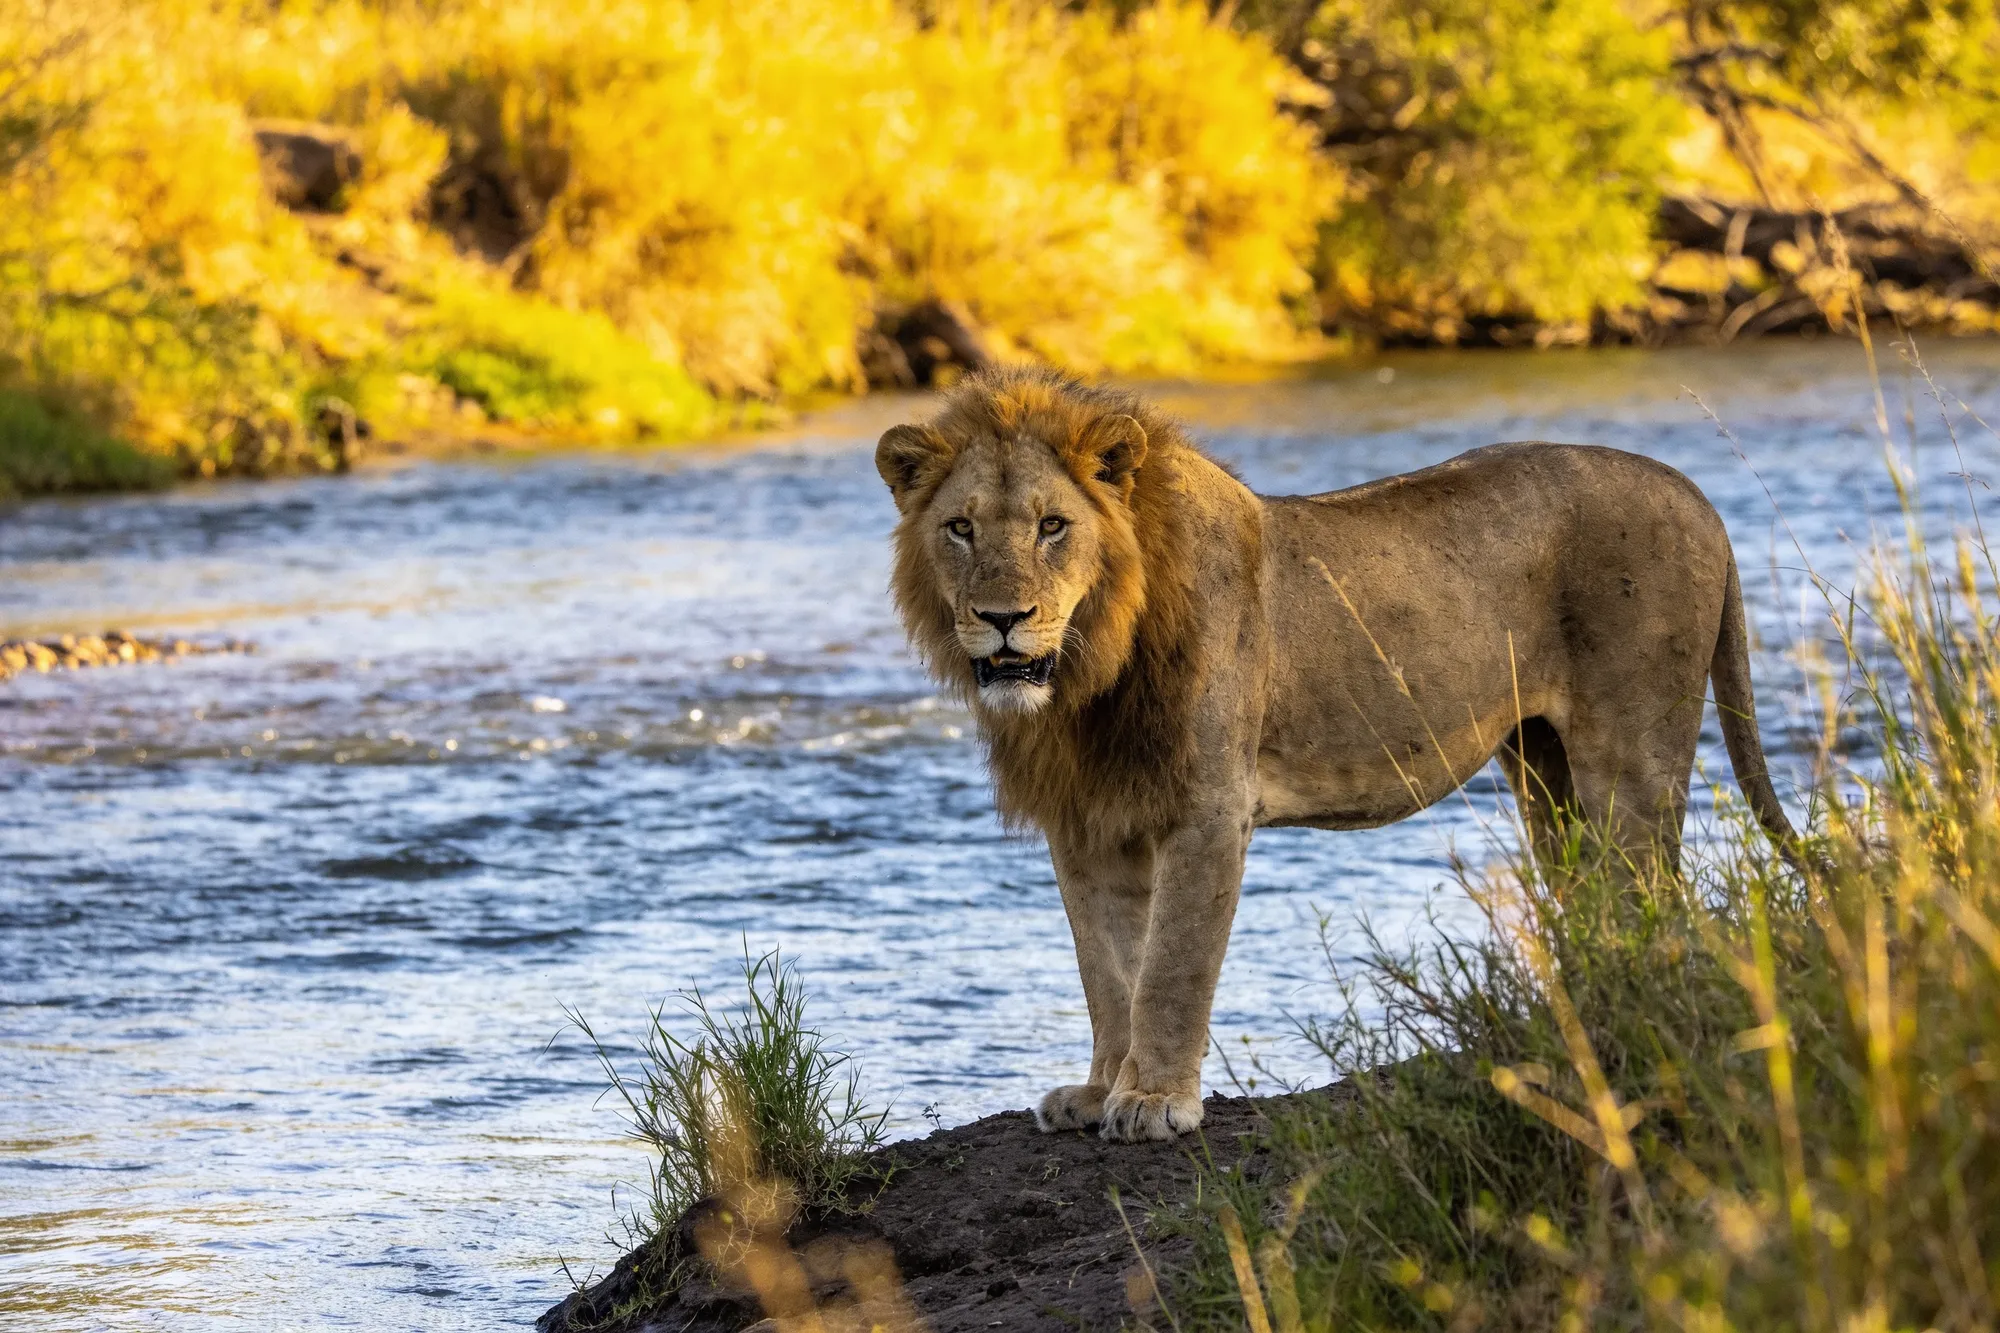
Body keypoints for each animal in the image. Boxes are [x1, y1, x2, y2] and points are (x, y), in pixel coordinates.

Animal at [875, 366, 1802, 1142]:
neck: (1089, 671)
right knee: (1595, 894)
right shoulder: (1087, 823)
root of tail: (1696, 493)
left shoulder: (1207, 809)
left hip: (1631, 754)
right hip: (1545, 766)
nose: (1002, 618)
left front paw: (1154, 1100)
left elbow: (1170, 966)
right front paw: (1100, 1088)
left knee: (1653, 895)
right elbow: (1107, 968)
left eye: (1053, 526)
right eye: (960, 529)